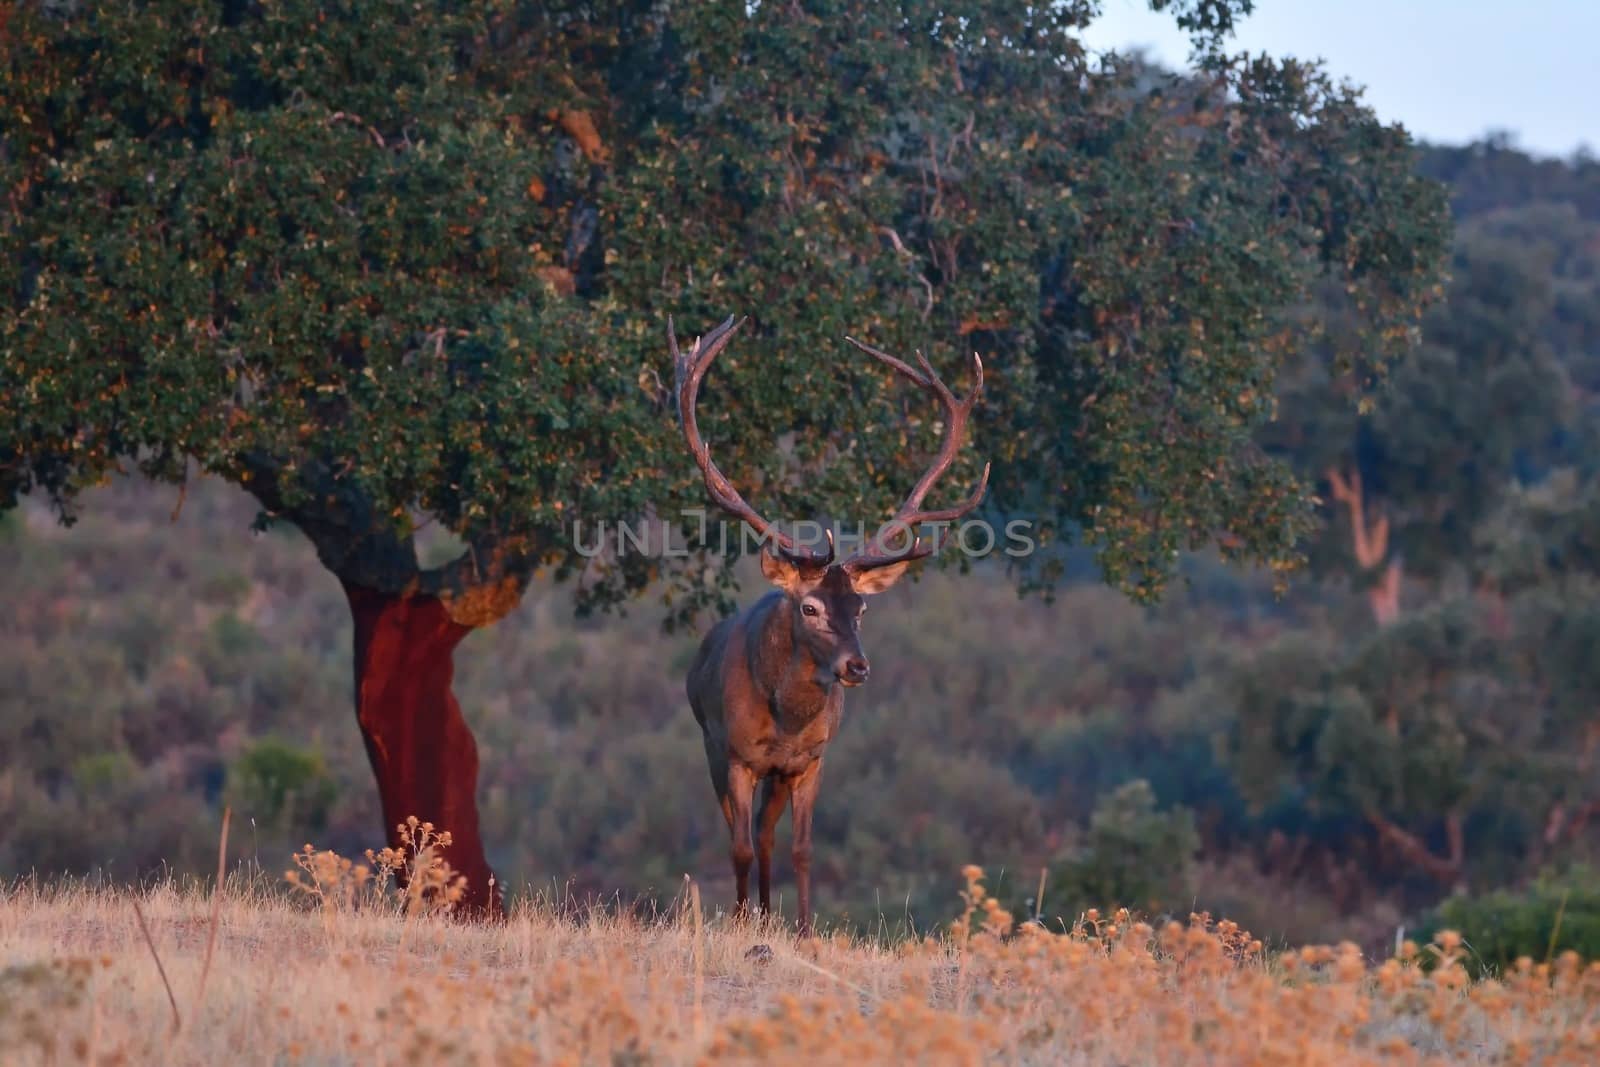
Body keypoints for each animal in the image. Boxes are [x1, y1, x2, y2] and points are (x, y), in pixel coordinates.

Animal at [665, 315, 985, 934]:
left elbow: (801, 848)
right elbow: (737, 848)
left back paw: (770, 918)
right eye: (810, 608)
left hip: (778, 774)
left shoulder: (812, 760)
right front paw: (739, 924)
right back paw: (751, 918)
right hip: (712, 745)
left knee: (767, 835)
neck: (784, 721)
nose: (857, 667)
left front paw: (807, 931)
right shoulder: (732, 752)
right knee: (743, 835)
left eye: (860, 608)